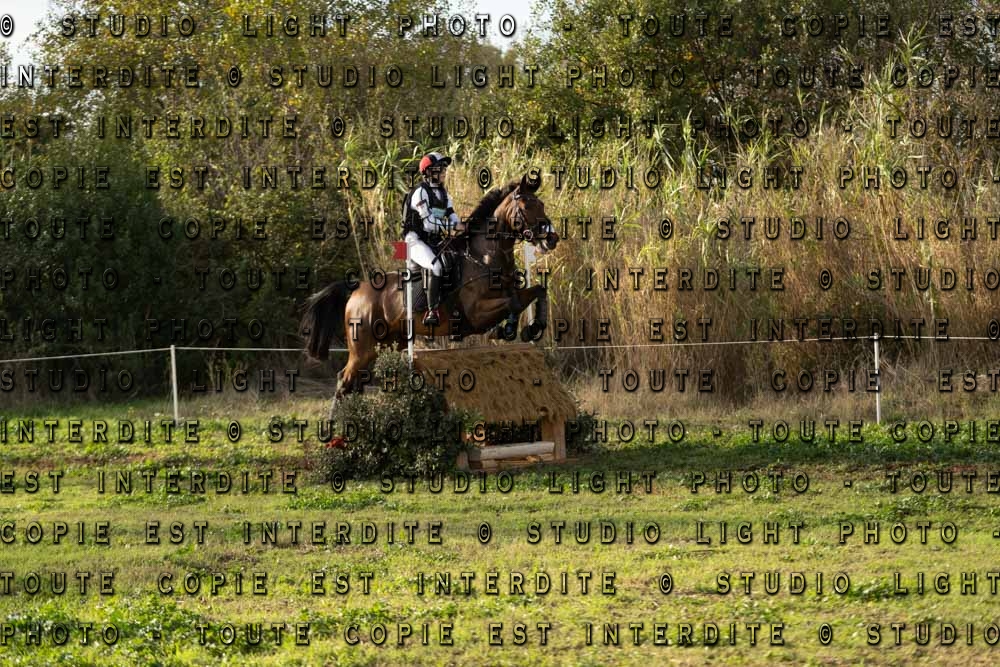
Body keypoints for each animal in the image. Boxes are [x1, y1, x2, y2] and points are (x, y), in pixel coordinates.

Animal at [301, 173, 559, 409]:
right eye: (526, 206)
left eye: (541, 205)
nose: (552, 238)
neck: (484, 258)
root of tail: (358, 290)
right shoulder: (476, 314)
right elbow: (513, 302)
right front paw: (508, 330)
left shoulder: (509, 296)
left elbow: (535, 292)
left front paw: (530, 328)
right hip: (363, 347)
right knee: (344, 380)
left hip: (385, 344)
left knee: (355, 383)